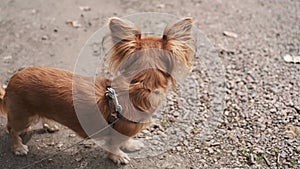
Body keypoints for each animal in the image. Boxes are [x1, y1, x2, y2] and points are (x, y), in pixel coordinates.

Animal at [0, 16, 195, 164]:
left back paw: (50, 124)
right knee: (12, 129)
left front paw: (130, 145)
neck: (140, 84)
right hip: (22, 118)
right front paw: (118, 156)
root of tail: (12, 81)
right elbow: (114, 146)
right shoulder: (116, 133)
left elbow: (126, 140)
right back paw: (18, 147)